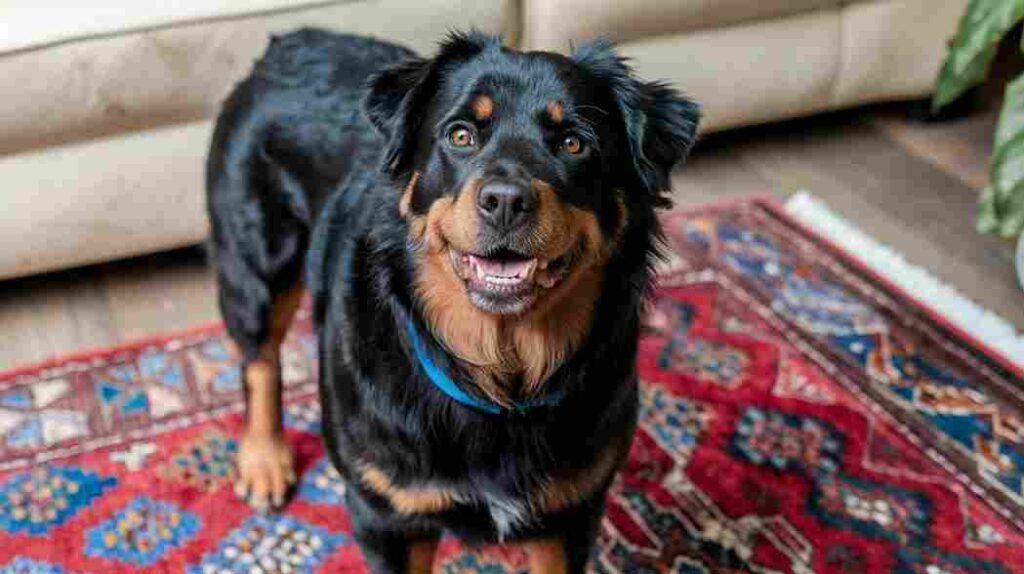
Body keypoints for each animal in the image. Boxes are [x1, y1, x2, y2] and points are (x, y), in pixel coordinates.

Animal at [207, 30, 704, 572]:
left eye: (574, 143)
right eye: (461, 135)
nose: (505, 201)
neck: (499, 374)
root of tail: (290, 41)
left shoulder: (571, 514)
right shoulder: (387, 515)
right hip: (255, 264)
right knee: (260, 362)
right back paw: (264, 460)